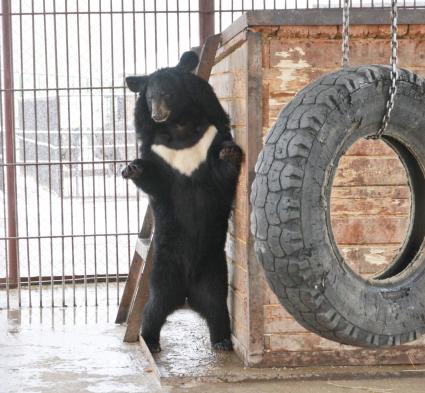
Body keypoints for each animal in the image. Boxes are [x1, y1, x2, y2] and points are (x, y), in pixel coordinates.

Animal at [122, 50, 242, 350]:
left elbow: (219, 170)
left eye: (167, 94)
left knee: (217, 307)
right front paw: (131, 169)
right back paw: (150, 340)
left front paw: (230, 153)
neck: (178, 126)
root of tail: (187, 293)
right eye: (149, 97)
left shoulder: (211, 131)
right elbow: (156, 179)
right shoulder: (156, 148)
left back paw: (222, 341)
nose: (157, 114)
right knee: (153, 309)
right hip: (162, 273)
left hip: (213, 272)